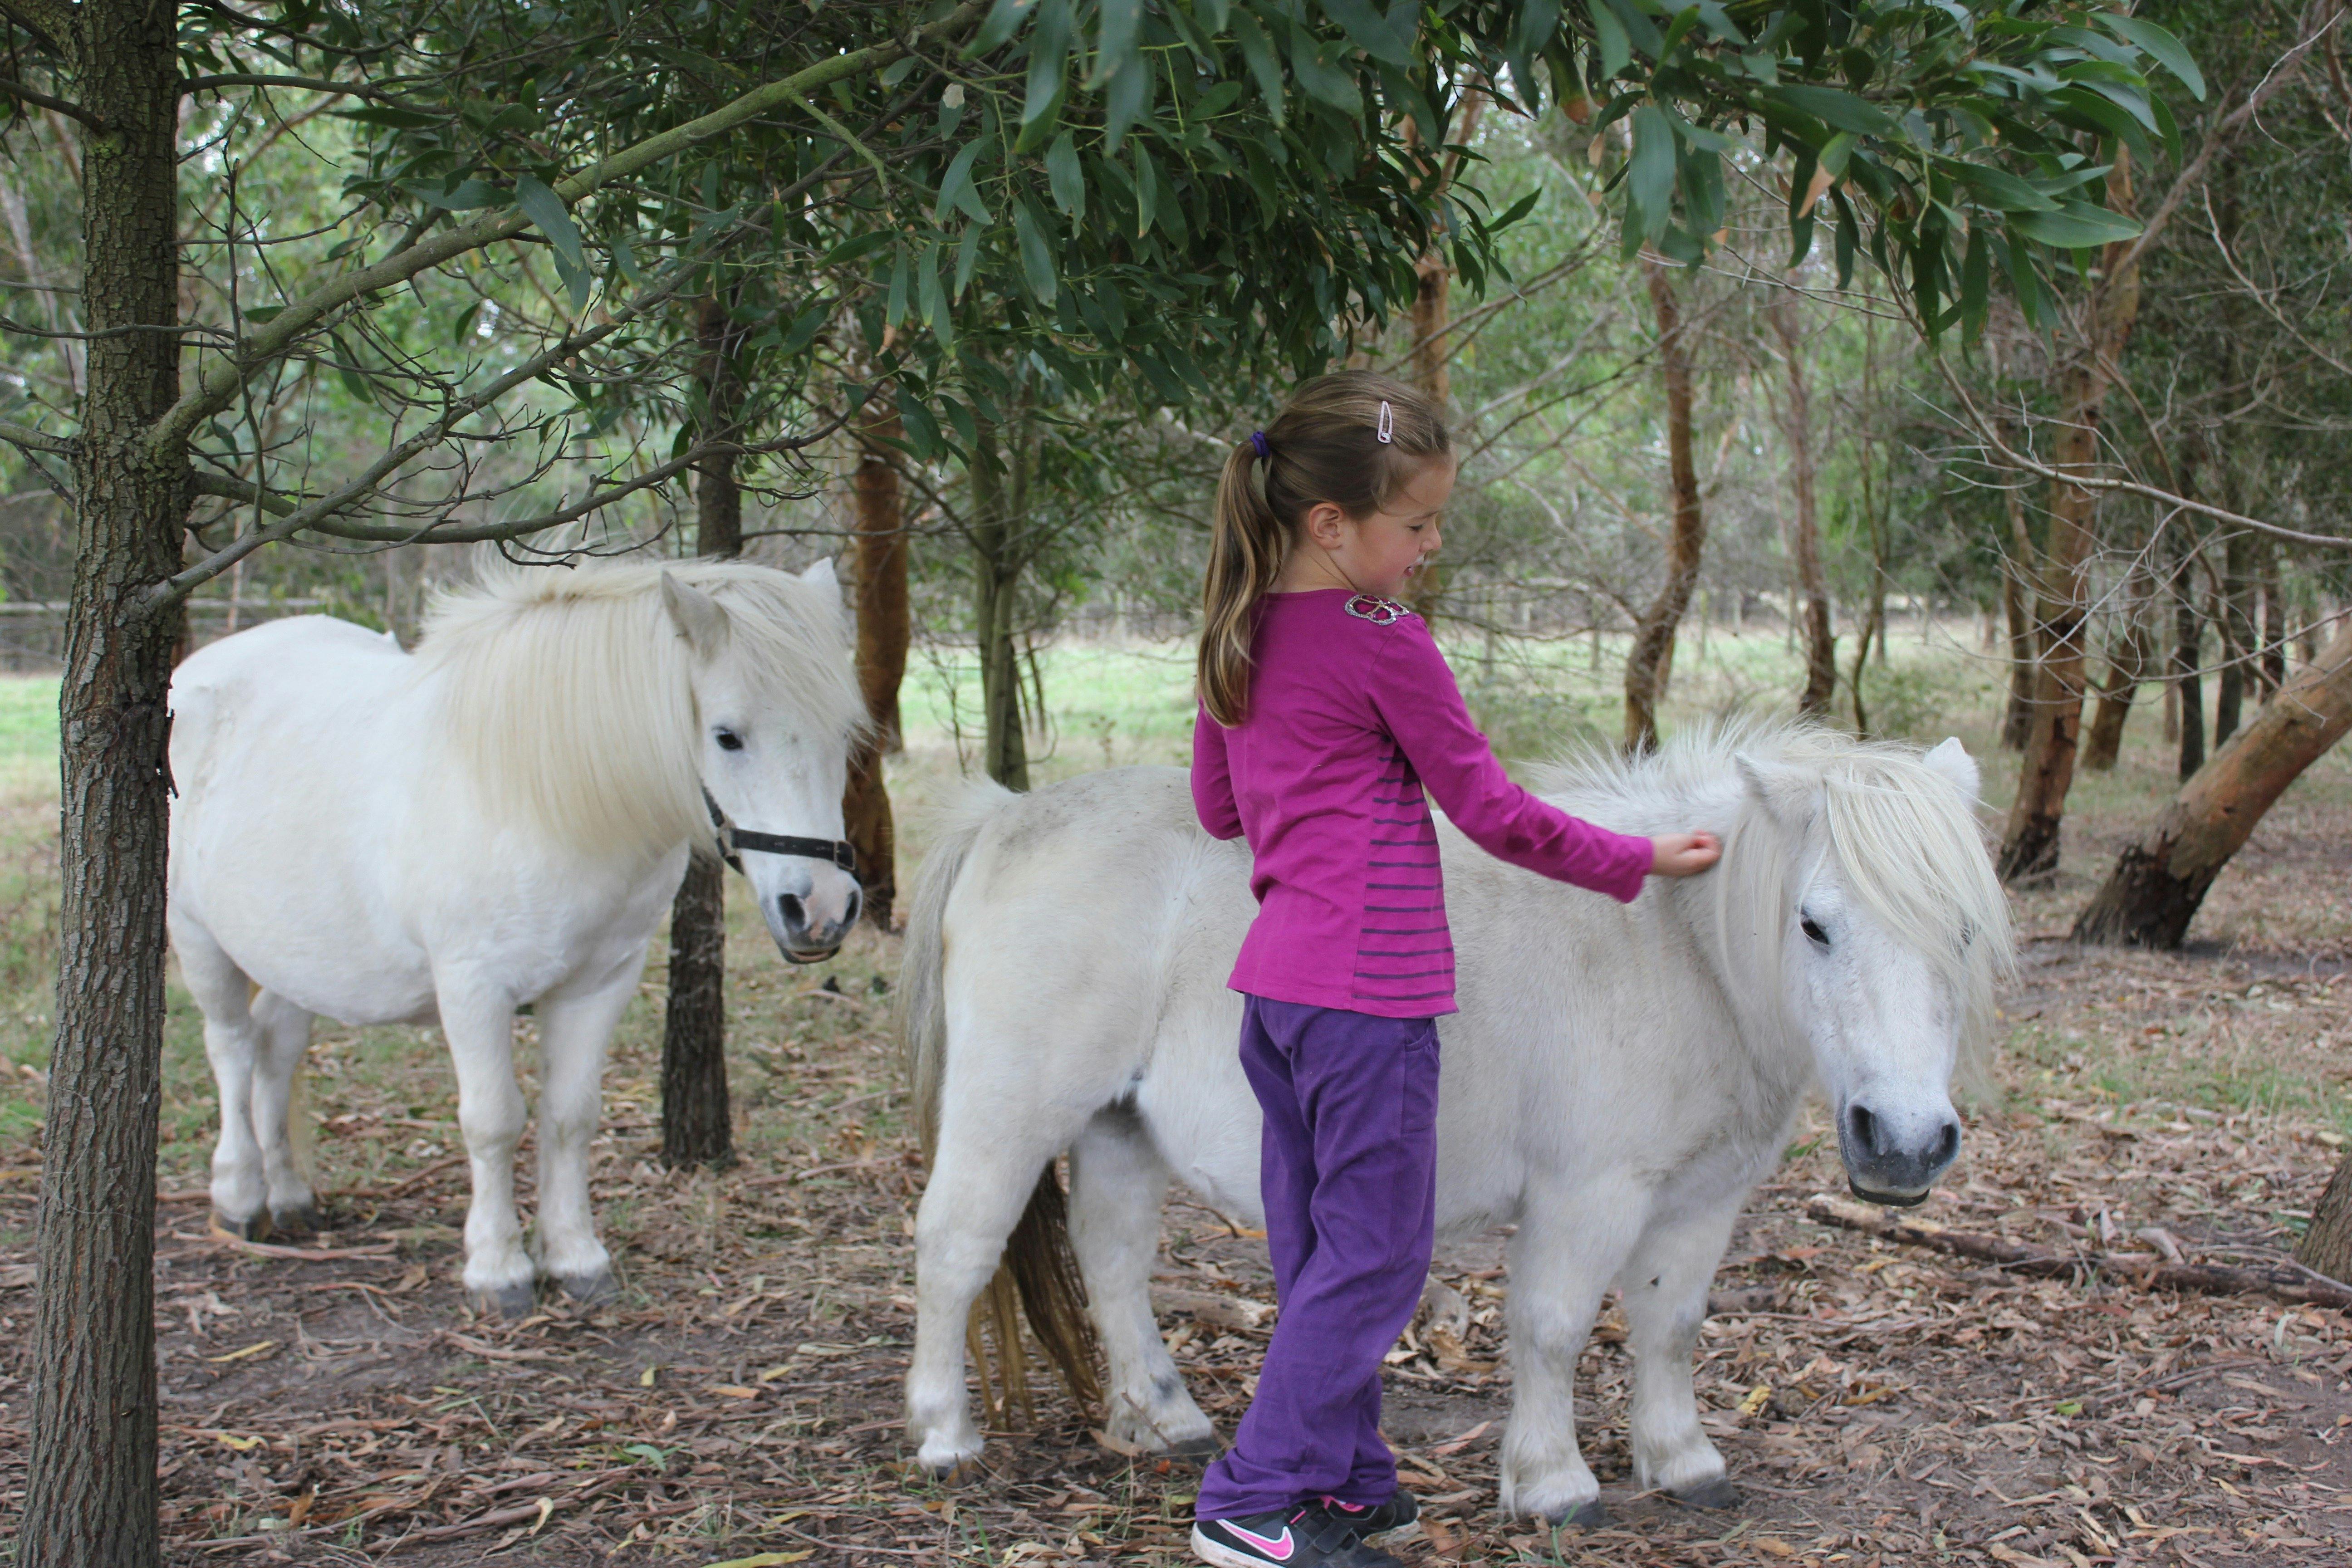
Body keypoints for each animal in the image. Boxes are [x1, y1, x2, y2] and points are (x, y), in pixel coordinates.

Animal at [168, 557, 865, 1316]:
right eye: (727, 735)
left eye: (843, 733)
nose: (821, 909)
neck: (539, 796)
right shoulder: (474, 989)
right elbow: (495, 1121)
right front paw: (498, 1268)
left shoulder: (602, 983)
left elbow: (570, 1116)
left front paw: (576, 1257)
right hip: (197, 937)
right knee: (232, 1048)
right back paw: (240, 1196)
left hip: (300, 956)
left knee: (277, 1047)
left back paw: (290, 1196)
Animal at [893, 724, 2004, 1523]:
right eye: (1814, 924)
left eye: (1964, 929)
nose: (1904, 1142)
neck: (1674, 952)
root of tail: (1005, 817)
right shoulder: (1586, 1195)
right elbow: (1553, 1328)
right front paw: (1552, 1483)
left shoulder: (1702, 1200)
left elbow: (1671, 1326)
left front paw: (1680, 1460)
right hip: (1011, 1111)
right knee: (956, 1248)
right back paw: (945, 1434)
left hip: (1118, 1124)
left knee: (1113, 1258)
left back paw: (1162, 1418)